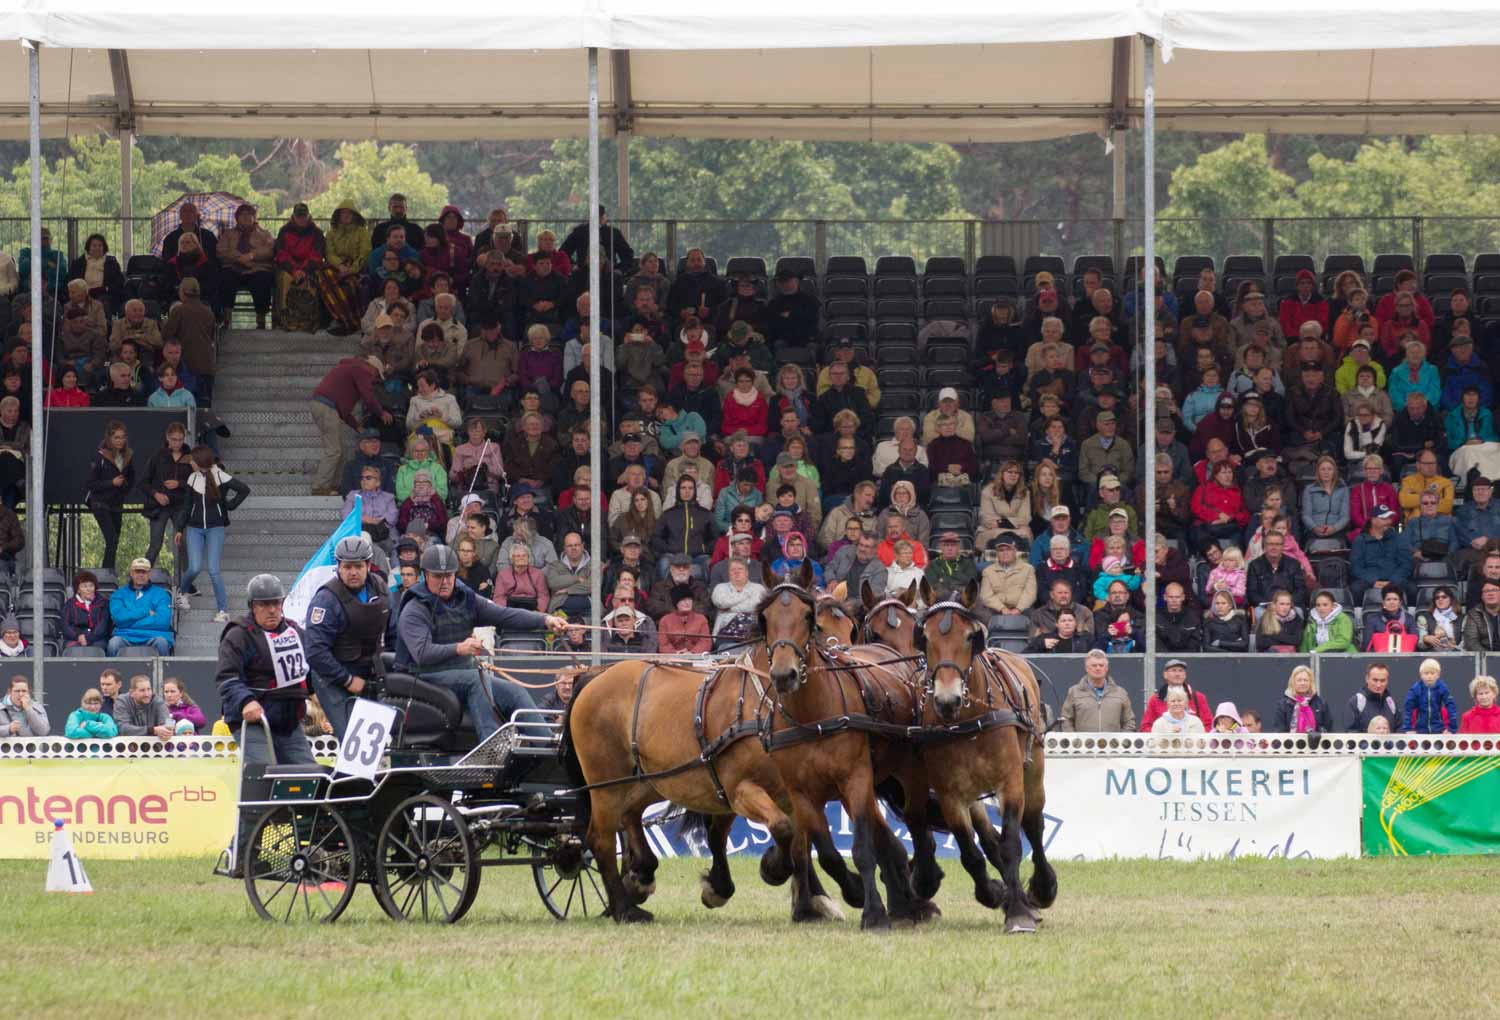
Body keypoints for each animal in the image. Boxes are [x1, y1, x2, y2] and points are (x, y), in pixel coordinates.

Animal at [561, 561, 912, 930]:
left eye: (850, 626)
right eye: (817, 624)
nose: (850, 665)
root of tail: (595, 675)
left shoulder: (791, 790)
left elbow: (800, 843)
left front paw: (807, 902)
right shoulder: (743, 789)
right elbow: (789, 834)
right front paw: (781, 872)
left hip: (649, 781)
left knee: (630, 816)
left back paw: (640, 876)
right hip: (605, 784)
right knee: (601, 838)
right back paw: (624, 907)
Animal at [906, 573, 1062, 930]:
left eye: (969, 637)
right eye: (925, 638)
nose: (946, 700)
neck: (968, 720)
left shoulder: (1010, 783)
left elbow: (1012, 845)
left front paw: (1019, 913)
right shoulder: (951, 795)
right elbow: (970, 851)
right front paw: (994, 894)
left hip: (1033, 770)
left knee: (1034, 826)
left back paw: (1042, 888)